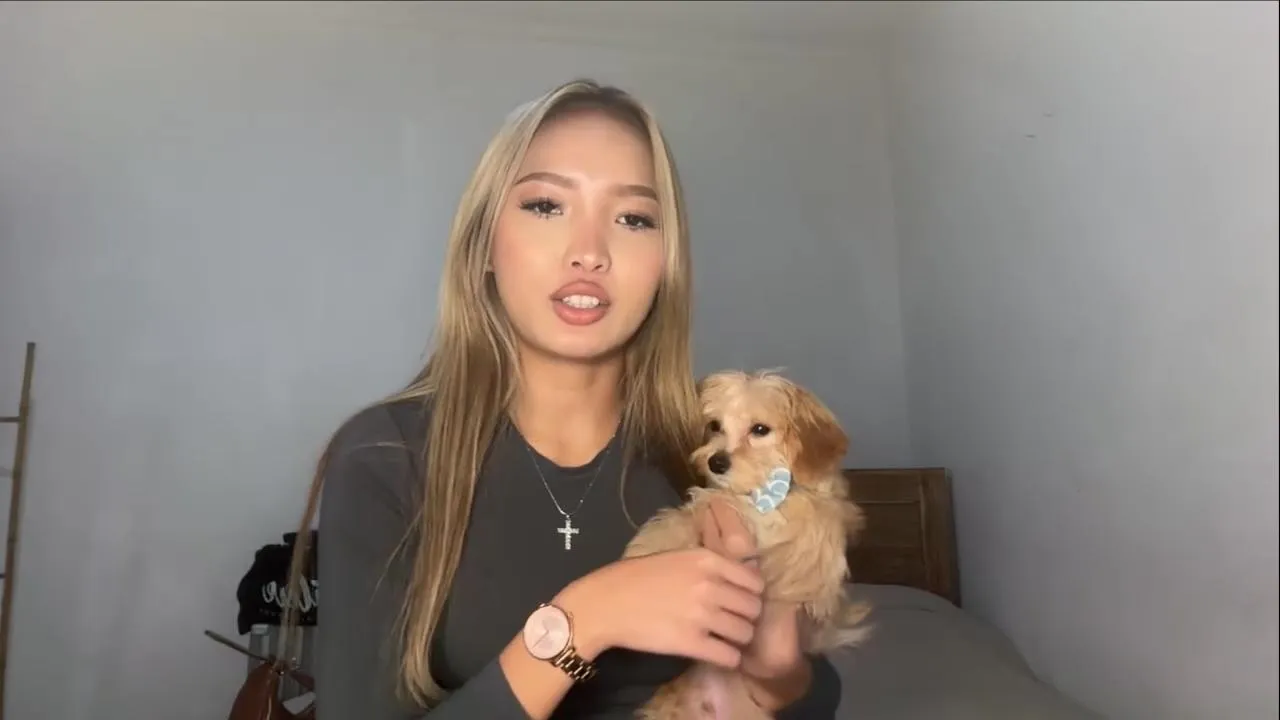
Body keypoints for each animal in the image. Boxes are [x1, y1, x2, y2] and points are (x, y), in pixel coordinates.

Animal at [623, 370, 871, 719]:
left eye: (760, 429)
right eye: (715, 425)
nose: (716, 462)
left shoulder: (802, 537)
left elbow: (719, 503)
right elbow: (692, 512)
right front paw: (650, 546)